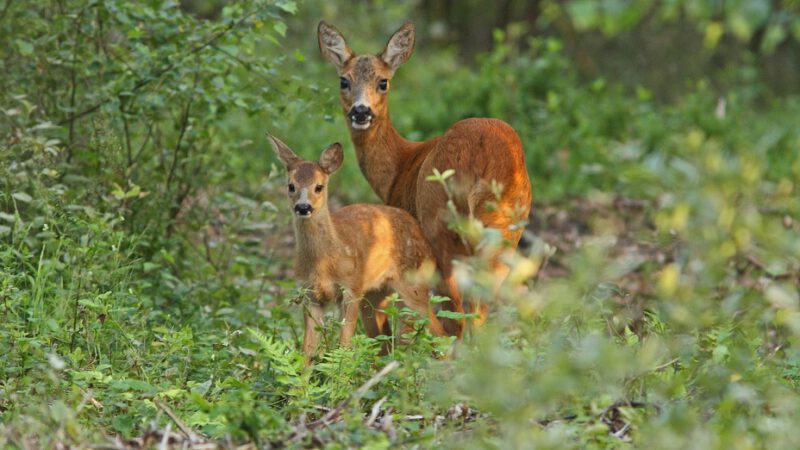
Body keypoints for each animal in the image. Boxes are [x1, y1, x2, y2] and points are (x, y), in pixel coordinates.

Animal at [268, 133, 444, 358]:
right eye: (290, 186)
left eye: (319, 186)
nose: (303, 207)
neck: (324, 261)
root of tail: (421, 233)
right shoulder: (310, 294)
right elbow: (307, 351)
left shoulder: (351, 287)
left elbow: (343, 345)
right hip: (374, 296)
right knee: (385, 342)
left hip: (414, 284)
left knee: (438, 330)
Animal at [318, 21, 532, 338]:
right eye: (344, 81)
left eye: (383, 82)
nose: (361, 111)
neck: (400, 167)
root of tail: (485, 160)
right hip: (507, 230)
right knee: (479, 314)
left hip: (439, 224)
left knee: (457, 318)